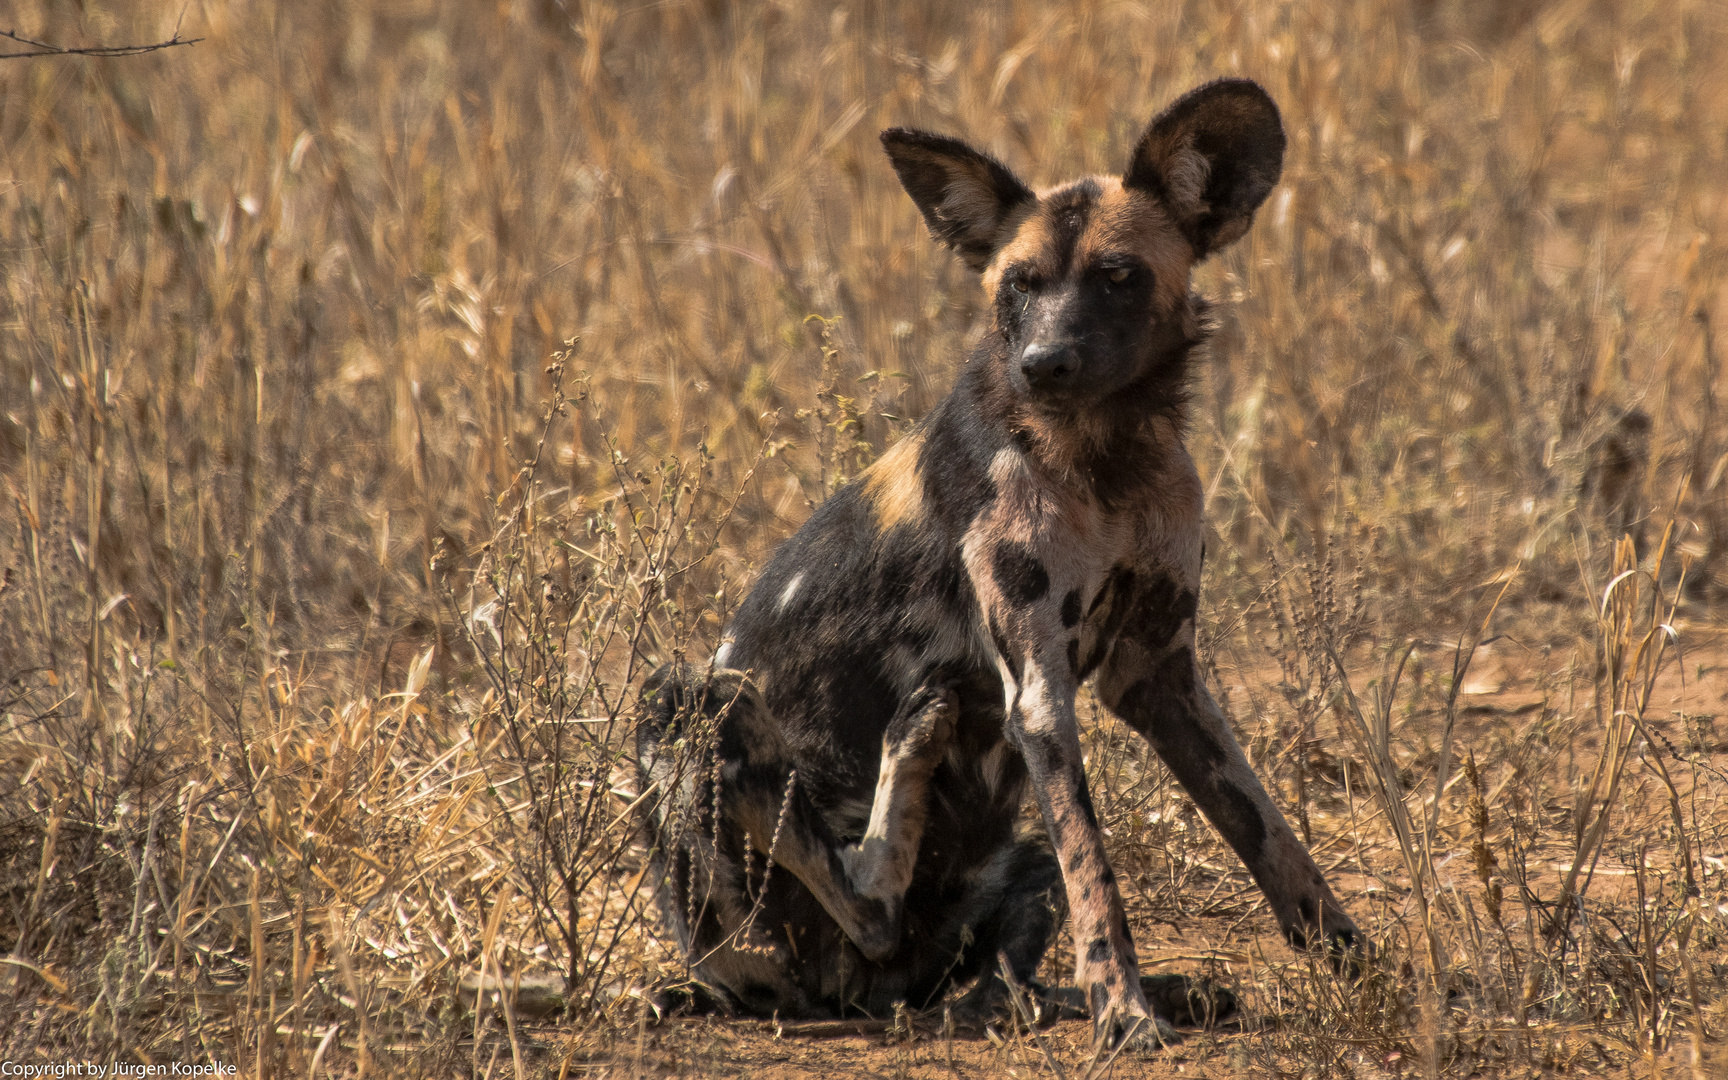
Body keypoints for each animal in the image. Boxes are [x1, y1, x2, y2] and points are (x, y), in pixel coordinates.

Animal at [635, 79, 1361, 1050]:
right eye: (1020, 284)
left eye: (1118, 277)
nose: (1044, 362)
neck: (1106, 456)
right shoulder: (1040, 700)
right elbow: (1102, 883)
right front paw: (1124, 1012)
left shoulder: (1159, 680)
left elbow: (1271, 839)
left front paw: (1365, 963)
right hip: (686, 707)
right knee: (870, 907)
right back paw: (910, 753)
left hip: (1006, 875)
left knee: (990, 986)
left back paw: (1148, 992)